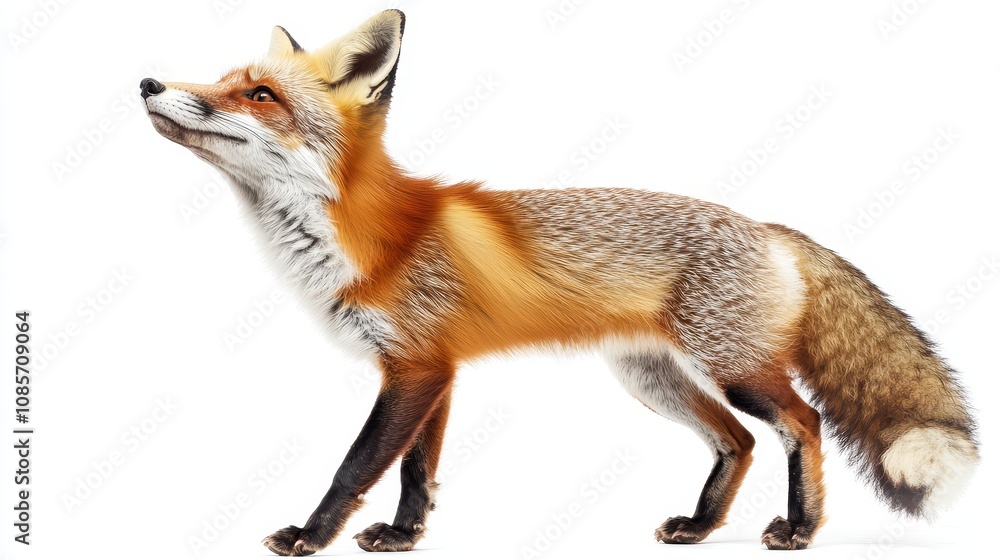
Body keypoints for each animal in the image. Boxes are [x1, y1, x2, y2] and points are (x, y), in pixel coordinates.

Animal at [141, 9, 979, 555]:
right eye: (223, 80)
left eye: (258, 95)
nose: (147, 80)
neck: (366, 235)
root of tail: (768, 227)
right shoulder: (434, 366)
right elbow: (417, 469)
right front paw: (406, 535)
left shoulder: (414, 368)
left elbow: (358, 463)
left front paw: (311, 535)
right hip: (653, 380)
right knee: (738, 441)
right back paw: (701, 527)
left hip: (734, 369)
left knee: (801, 425)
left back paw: (801, 528)